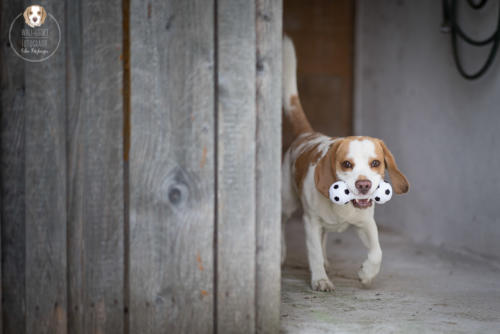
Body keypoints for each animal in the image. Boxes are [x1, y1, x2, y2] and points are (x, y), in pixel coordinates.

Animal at [282, 36, 410, 290]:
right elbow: (313, 253)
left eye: (375, 163)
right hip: (287, 201)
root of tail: (307, 134)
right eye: (347, 164)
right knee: (280, 224)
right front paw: (320, 279)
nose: (364, 185)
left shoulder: (366, 223)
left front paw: (367, 273)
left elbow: (377, 252)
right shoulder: (310, 222)